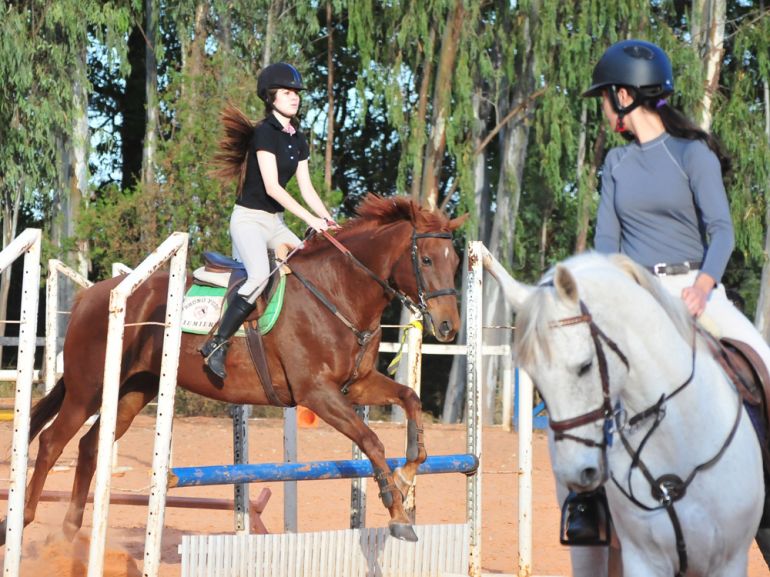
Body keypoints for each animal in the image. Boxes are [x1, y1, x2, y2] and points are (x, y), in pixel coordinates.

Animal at [2, 194, 465, 546]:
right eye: (426, 259)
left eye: (456, 260)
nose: (448, 327)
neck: (337, 293)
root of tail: (93, 296)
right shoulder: (318, 394)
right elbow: (371, 440)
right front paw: (397, 510)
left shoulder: (357, 386)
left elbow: (410, 400)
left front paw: (409, 470)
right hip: (89, 390)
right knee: (52, 444)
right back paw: (21, 522)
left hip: (133, 391)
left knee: (88, 447)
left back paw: (69, 531)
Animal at [485, 251, 765, 577]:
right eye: (536, 379)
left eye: (585, 366)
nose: (577, 472)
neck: (682, 441)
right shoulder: (644, 559)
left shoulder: (729, 561)